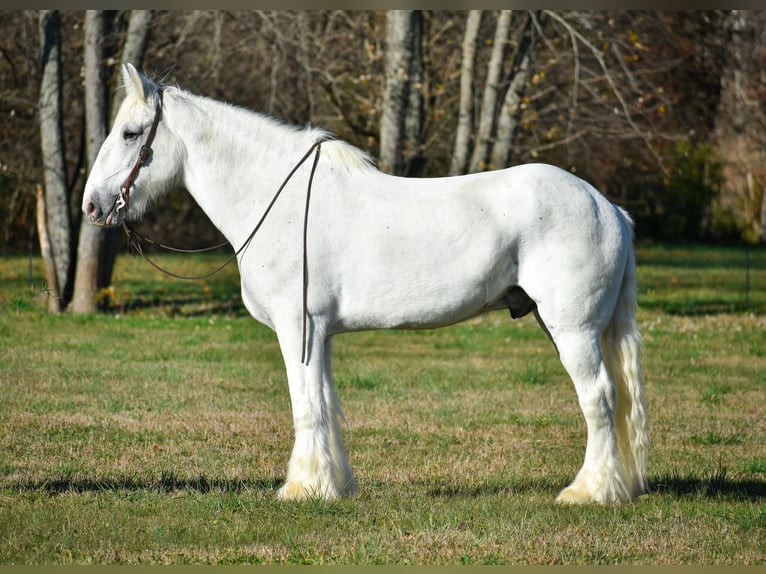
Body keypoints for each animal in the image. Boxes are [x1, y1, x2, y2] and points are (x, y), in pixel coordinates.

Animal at [82, 63, 648, 504]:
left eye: (131, 133)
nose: (91, 205)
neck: (276, 200)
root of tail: (608, 206)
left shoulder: (298, 329)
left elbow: (306, 407)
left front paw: (302, 488)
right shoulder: (320, 335)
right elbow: (326, 404)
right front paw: (332, 485)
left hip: (572, 328)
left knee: (598, 397)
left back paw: (589, 492)